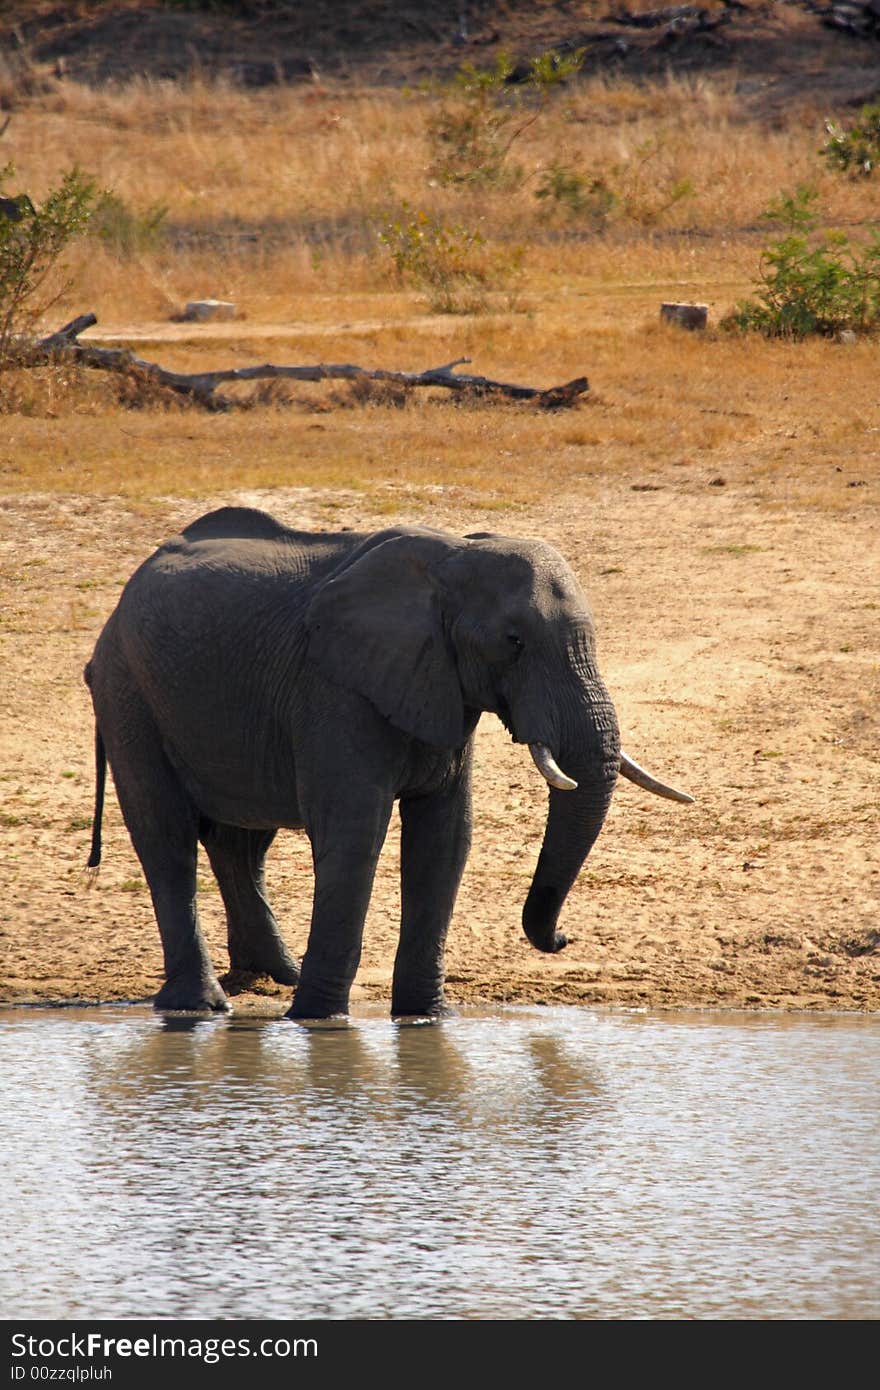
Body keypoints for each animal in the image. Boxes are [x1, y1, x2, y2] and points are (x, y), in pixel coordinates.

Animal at [82, 505, 689, 1017]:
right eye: (513, 641)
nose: (562, 939)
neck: (454, 557)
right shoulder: (334, 687)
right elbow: (354, 832)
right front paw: (319, 1021)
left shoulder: (441, 687)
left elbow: (445, 836)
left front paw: (428, 1018)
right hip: (128, 689)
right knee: (166, 834)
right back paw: (204, 1006)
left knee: (240, 843)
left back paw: (273, 977)